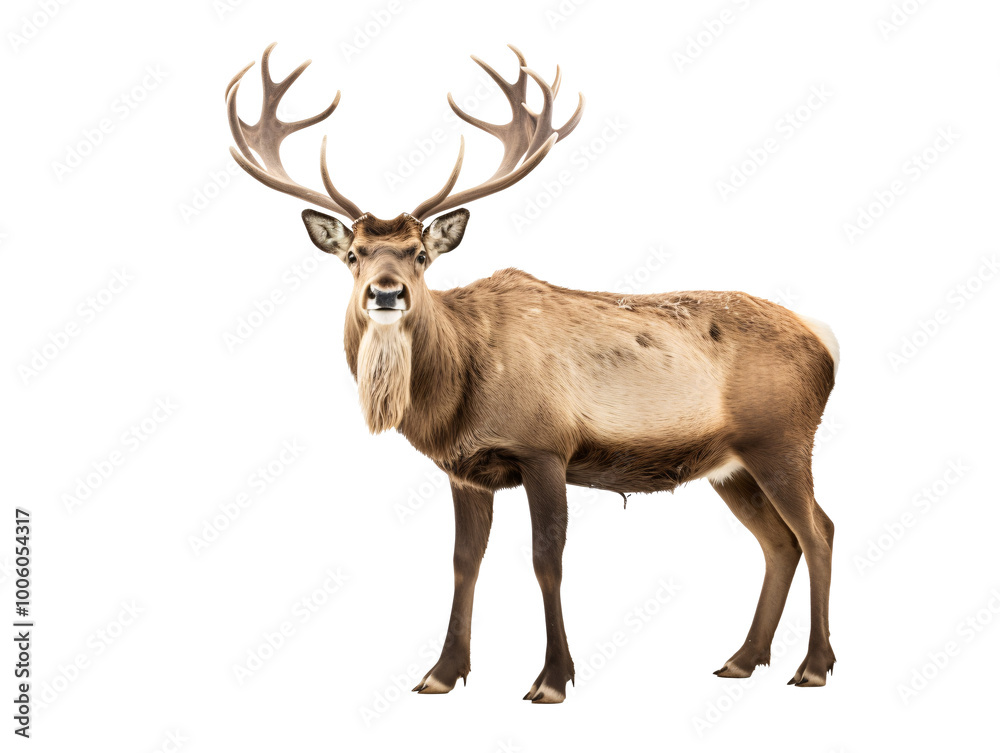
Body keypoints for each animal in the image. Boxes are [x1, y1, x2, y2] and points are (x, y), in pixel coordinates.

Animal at [225, 43, 839, 703]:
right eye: (353, 254)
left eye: (420, 254)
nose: (386, 292)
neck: (453, 396)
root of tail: (826, 341)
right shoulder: (466, 470)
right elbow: (463, 562)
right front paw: (442, 672)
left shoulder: (545, 447)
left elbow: (548, 560)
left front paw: (551, 678)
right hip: (731, 466)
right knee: (778, 542)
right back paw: (743, 659)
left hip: (781, 438)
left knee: (818, 531)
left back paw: (813, 665)